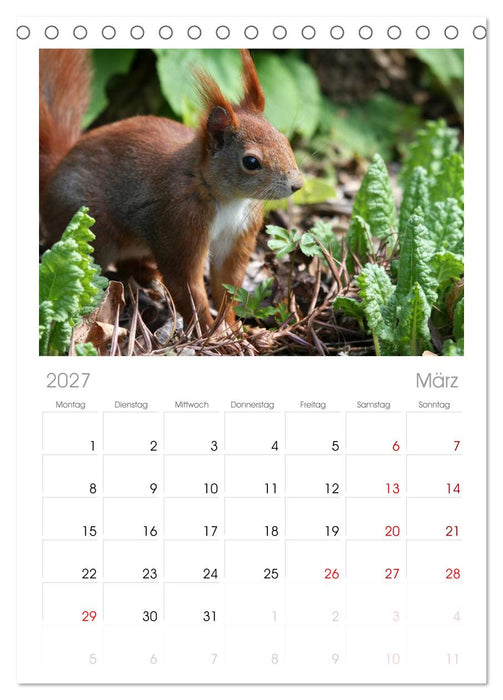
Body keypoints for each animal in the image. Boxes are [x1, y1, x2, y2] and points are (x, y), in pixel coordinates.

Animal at [39, 49, 303, 331]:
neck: (228, 199)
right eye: (251, 162)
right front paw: (210, 331)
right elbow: (187, 285)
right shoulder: (180, 223)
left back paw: (149, 275)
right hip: (92, 230)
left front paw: (232, 325)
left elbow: (226, 283)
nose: (297, 184)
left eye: (284, 140)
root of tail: (53, 171)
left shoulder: (239, 232)